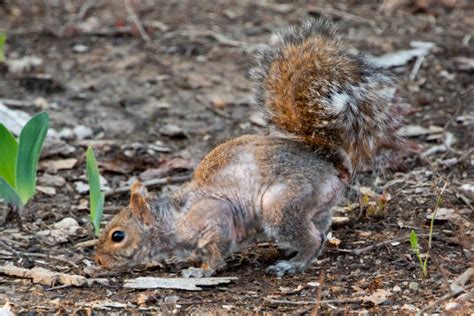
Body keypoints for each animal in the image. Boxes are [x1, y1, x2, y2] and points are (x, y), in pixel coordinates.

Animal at [93, 19, 404, 276]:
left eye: (117, 235)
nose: (98, 260)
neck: (172, 220)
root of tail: (331, 161)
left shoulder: (214, 219)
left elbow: (216, 251)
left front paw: (199, 271)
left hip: (281, 205)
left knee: (313, 237)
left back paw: (292, 264)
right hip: (313, 207)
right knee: (321, 228)